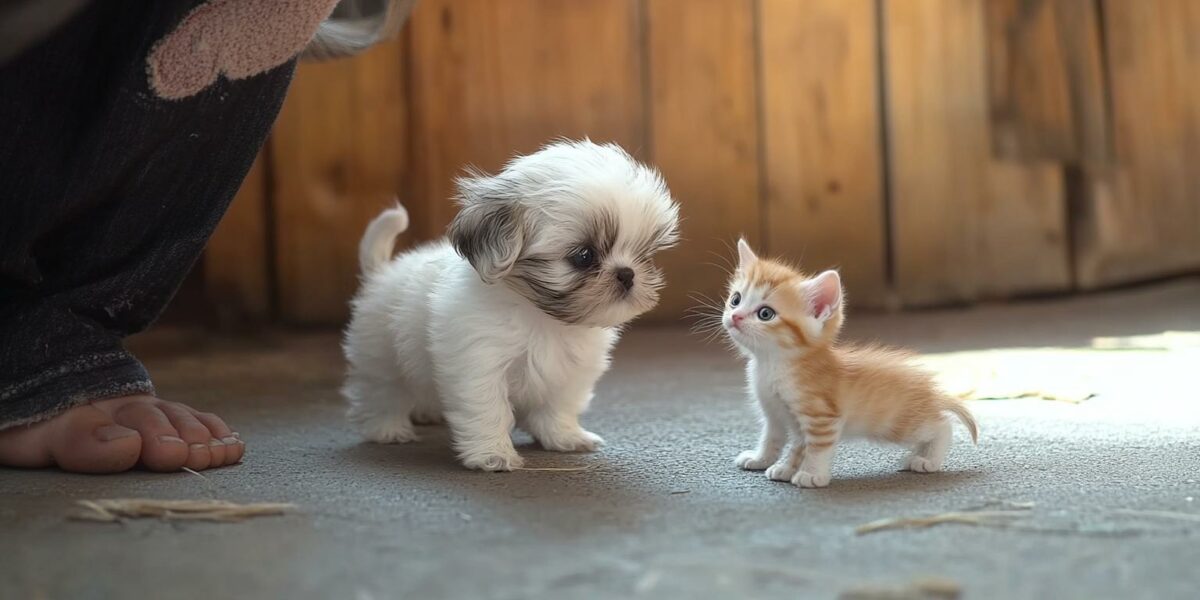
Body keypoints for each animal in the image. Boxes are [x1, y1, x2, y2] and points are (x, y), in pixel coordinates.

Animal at [343, 138, 681, 470]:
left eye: (643, 254)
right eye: (584, 256)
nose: (627, 274)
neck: (542, 318)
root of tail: (383, 272)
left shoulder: (568, 372)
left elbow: (557, 406)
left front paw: (564, 436)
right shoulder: (479, 364)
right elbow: (489, 410)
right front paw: (492, 454)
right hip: (380, 355)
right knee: (382, 391)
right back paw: (388, 428)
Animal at [720, 238, 974, 487]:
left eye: (765, 314)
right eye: (735, 299)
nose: (735, 317)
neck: (770, 364)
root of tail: (931, 392)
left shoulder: (821, 416)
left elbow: (815, 449)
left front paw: (811, 474)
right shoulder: (774, 415)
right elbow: (774, 439)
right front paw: (767, 461)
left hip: (899, 423)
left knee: (942, 425)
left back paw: (928, 459)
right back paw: (917, 456)